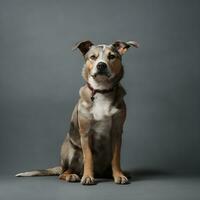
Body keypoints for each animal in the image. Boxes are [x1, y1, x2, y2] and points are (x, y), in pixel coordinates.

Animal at [15, 39, 138, 185]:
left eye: (112, 56)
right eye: (93, 57)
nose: (101, 65)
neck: (101, 91)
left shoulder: (117, 133)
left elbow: (116, 158)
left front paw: (118, 175)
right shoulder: (85, 133)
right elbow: (88, 157)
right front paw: (88, 176)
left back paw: (113, 173)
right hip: (71, 150)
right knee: (65, 172)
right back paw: (72, 175)